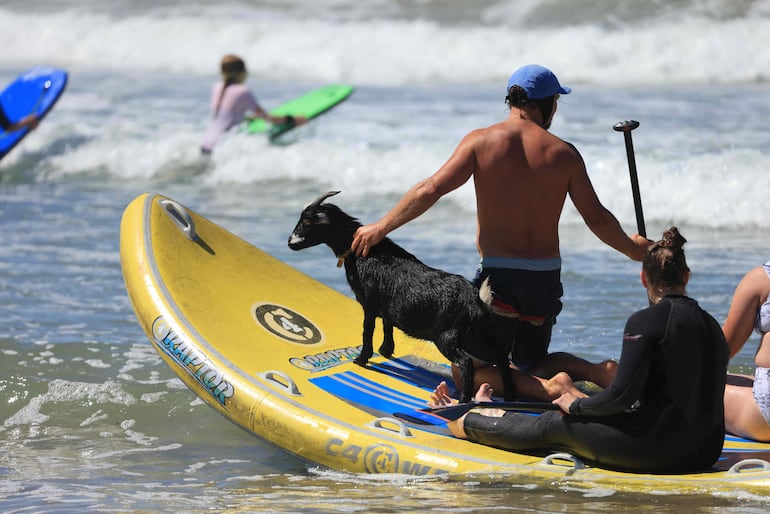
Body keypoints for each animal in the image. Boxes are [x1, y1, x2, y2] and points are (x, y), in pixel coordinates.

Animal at [284, 190, 512, 402]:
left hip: (448, 337)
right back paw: (510, 396)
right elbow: (387, 324)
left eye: (307, 221)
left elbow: (367, 331)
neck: (363, 252)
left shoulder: (368, 304)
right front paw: (386, 350)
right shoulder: (386, 305)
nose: (290, 242)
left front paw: (361, 359)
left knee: (466, 363)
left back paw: (463, 399)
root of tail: (476, 299)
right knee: (500, 357)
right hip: (475, 336)